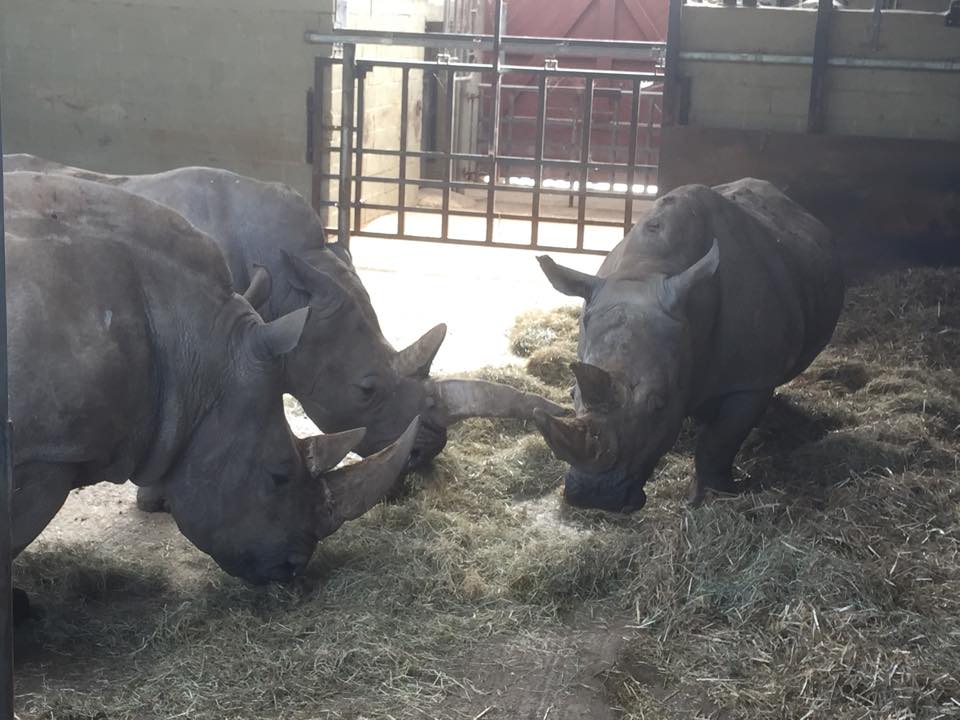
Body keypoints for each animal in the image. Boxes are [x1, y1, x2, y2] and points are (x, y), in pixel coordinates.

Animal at [533, 179, 844, 512]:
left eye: (660, 404)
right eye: (572, 394)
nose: (594, 498)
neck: (648, 269)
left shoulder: (751, 378)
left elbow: (720, 439)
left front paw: (712, 496)